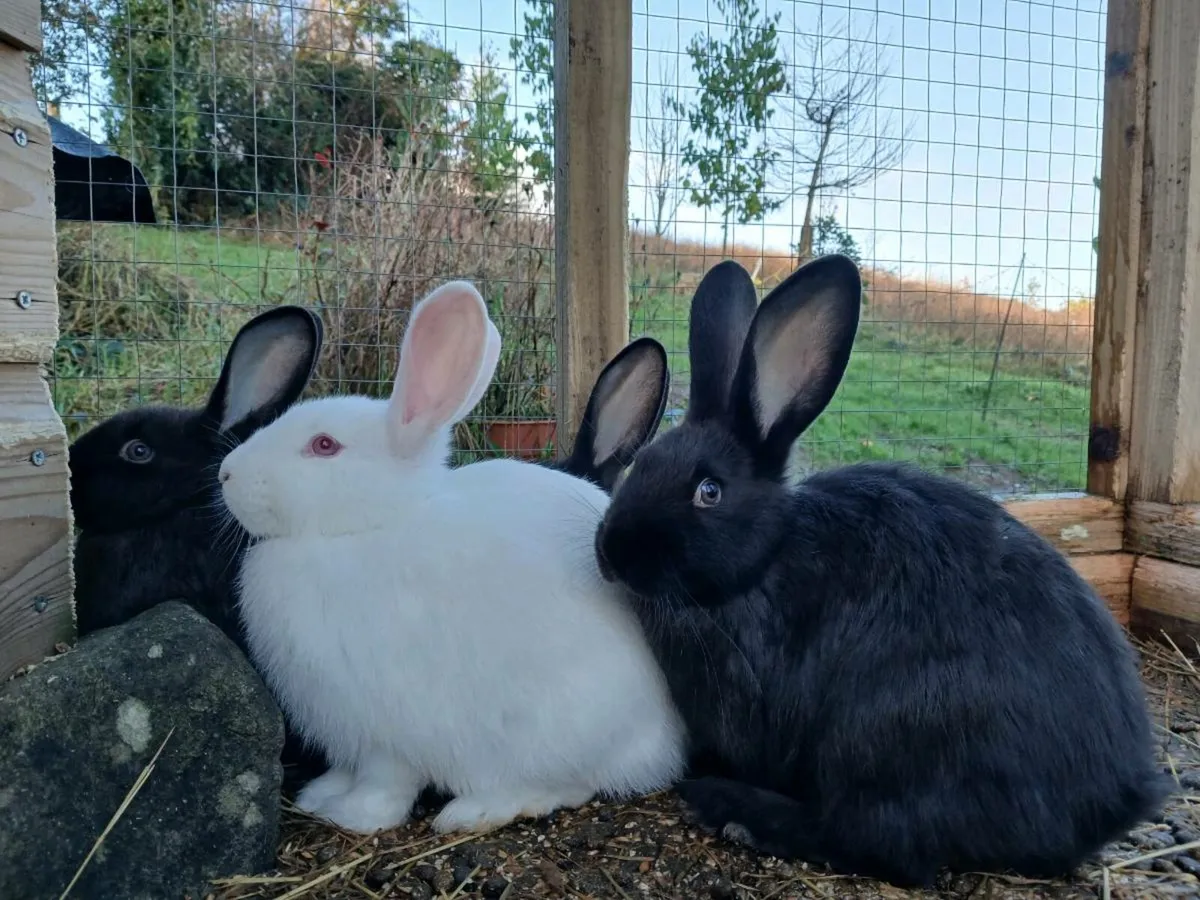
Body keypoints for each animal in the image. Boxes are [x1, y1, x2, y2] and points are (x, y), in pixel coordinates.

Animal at [217, 280, 686, 836]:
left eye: (324, 445)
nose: (225, 473)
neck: (369, 526)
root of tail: (668, 740)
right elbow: (347, 771)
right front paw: (320, 796)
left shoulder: (389, 728)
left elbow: (384, 782)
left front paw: (355, 816)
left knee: (572, 784)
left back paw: (476, 810)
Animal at [592, 255, 1167, 887]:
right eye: (643, 463)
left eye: (709, 491)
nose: (611, 550)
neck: (763, 566)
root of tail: (1114, 800)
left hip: (889, 734)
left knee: (881, 845)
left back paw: (733, 808)